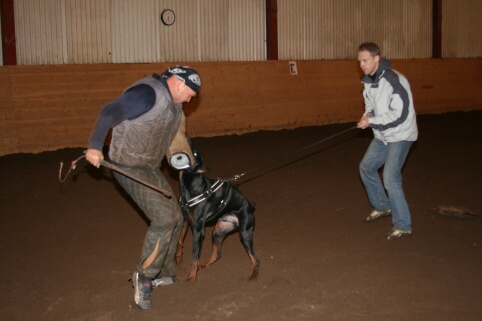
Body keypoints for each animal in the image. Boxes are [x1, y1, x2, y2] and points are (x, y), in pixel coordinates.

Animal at [174, 149, 260, 280]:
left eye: (194, 155)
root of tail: (250, 206)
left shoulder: (198, 230)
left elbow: (194, 255)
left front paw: (192, 276)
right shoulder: (186, 219)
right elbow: (180, 238)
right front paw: (178, 256)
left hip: (245, 234)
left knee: (256, 259)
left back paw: (254, 274)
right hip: (218, 231)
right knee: (217, 254)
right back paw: (202, 265)